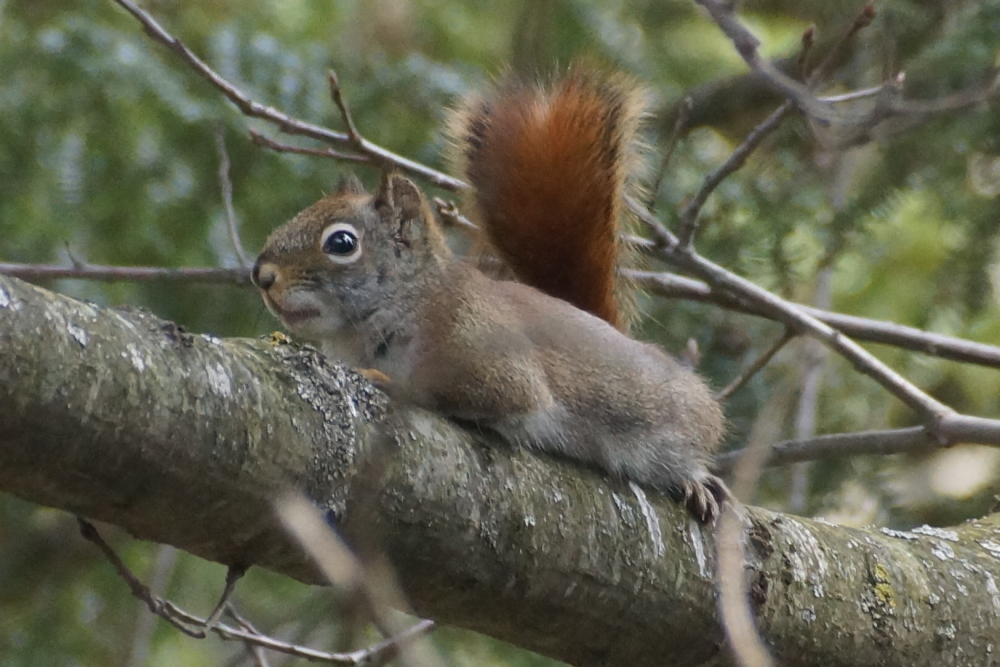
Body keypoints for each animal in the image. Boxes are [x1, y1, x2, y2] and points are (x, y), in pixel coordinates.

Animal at [251, 67, 729, 522]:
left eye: (342, 243)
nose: (262, 275)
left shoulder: (487, 348)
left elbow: (482, 391)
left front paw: (391, 382)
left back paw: (695, 481)